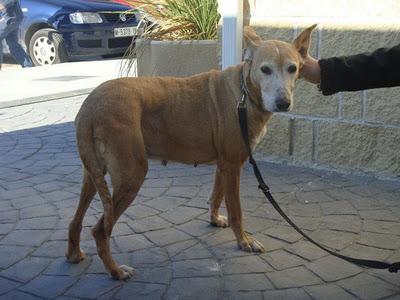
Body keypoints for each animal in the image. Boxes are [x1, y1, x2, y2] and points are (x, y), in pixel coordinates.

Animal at [65, 24, 316, 280]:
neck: (244, 91)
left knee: (76, 220)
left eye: (293, 68)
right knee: (100, 230)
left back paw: (74, 253)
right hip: (131, 176)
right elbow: (236, 211)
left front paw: (214, 220)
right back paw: (115, 271)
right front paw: (244, 241)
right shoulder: (233, 166)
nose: (283, 102)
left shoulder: (223, 165)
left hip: (93, 175)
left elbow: (216, 197)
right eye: (265, 69)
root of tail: (90, 106)